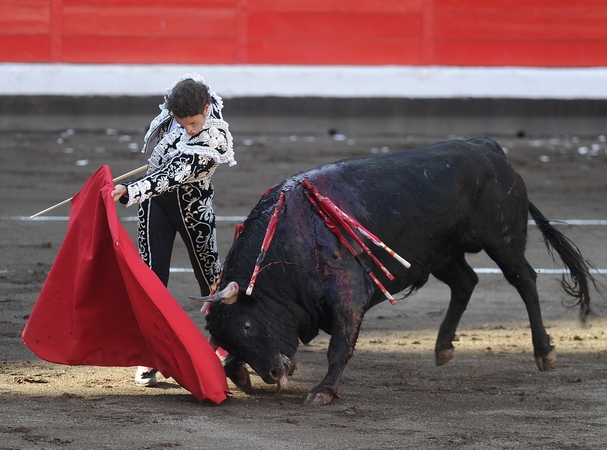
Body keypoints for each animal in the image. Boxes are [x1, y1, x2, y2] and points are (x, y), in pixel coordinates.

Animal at [202, 136, 596, 404]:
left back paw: (544, 353)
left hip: (502, 238)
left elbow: (340, 347)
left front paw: (323, 392)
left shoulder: (347, 296)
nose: (272, 374)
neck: (289, 240)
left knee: (523, 279)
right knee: (465, 282)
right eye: (228, 337)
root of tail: (487, 147)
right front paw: (240, 373)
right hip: (441, 254)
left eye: (248, 326)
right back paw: (443, 347)